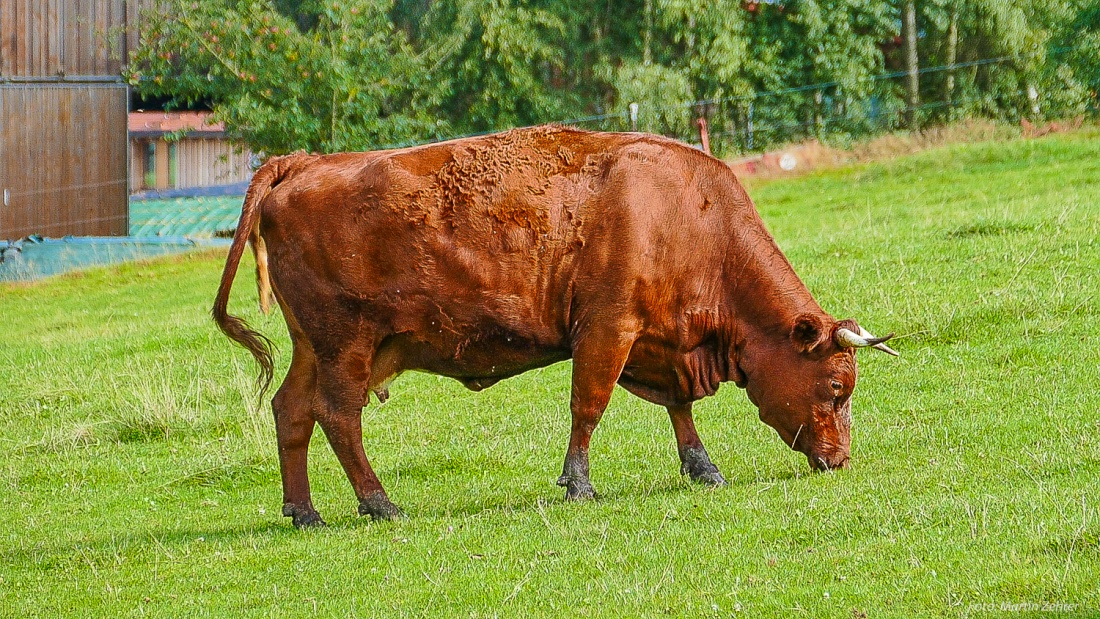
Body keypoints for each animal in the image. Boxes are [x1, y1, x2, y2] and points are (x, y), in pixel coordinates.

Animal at [212, 125, 893, 527]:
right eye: (837, 387)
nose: (840, 459)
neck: (686, 214)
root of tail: (302, 163)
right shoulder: (607, 330)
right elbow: (587, 406)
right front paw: (578, 484)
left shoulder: (659, 341)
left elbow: (679, 409)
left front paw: (702, 467)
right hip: (346, 346)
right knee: (338, 416)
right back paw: (379, 502)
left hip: (314, 349)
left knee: (291, 412)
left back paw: (304, 511)